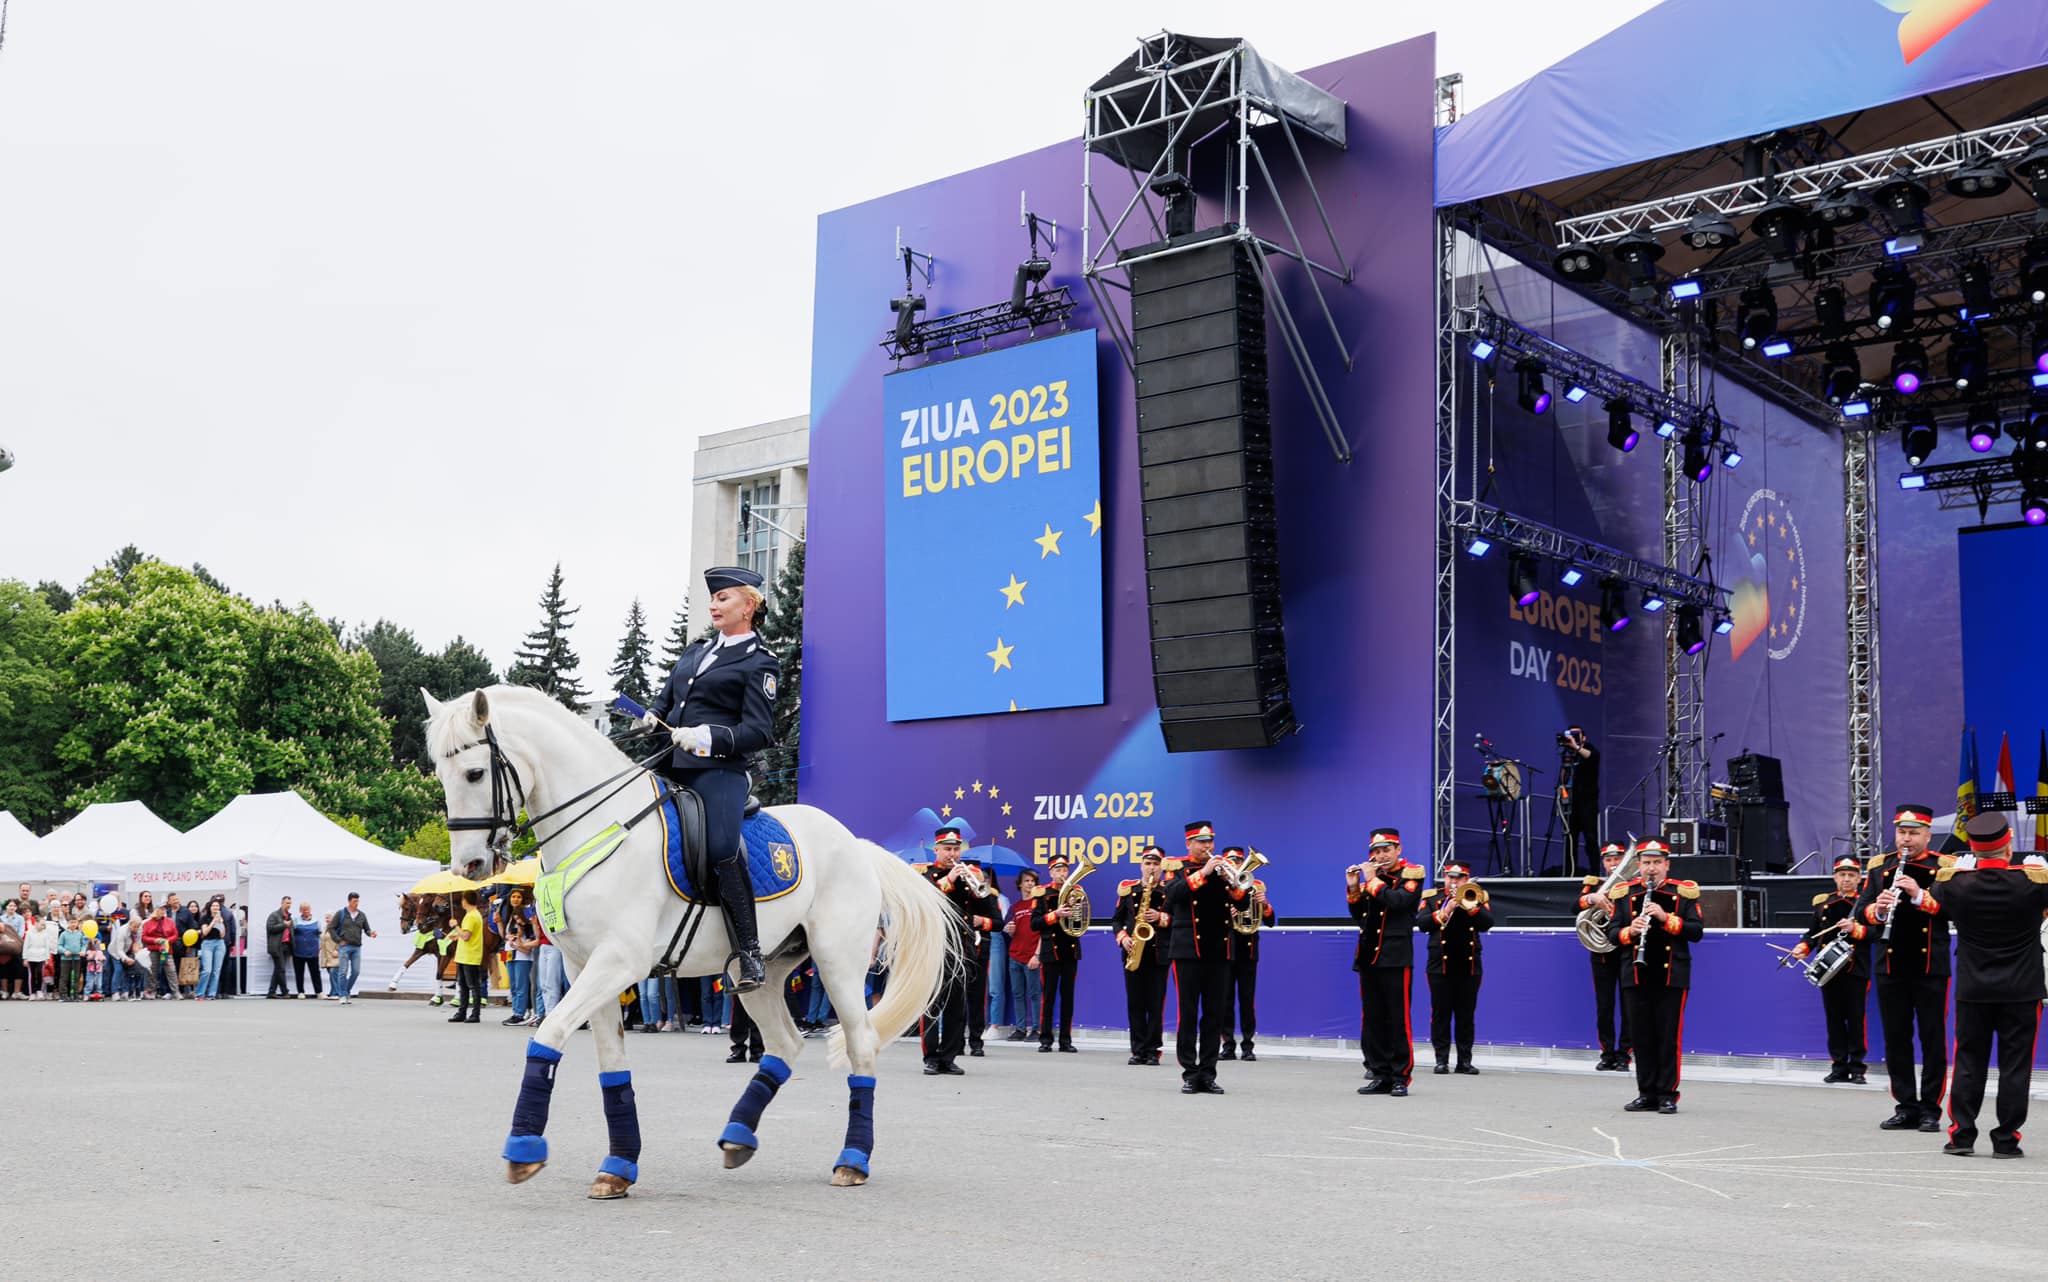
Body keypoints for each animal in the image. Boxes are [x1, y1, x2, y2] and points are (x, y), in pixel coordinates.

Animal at [421, 684, 958, 1195]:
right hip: (760, 972)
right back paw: (739, 1137)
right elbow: (611, 1063)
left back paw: (852, 1160)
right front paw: (618, 1167)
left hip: (837, 963)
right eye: (440, 776)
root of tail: (858, 844)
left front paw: (524, 1148)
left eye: (474, 773)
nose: (468, 866)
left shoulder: (620, 961)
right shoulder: (583, 965)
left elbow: (547, 1034)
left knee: (860, 1043)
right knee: (784, 1042)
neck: (599, 830)